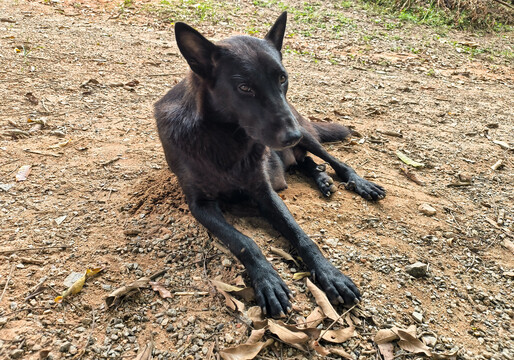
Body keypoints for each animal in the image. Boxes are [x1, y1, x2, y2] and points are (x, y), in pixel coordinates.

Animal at [154, 11, 382, 316]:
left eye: (282, 78)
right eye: (244, 87)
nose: (292, 135)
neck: (225, 138)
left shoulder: (265, 192)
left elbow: (301, 235)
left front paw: (330, 274)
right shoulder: (200, 205)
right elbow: (244, 243)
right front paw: (268, 280)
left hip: (309, 135)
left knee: (334, 162)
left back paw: (357, 182)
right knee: (304, 162)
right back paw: (321, 179)